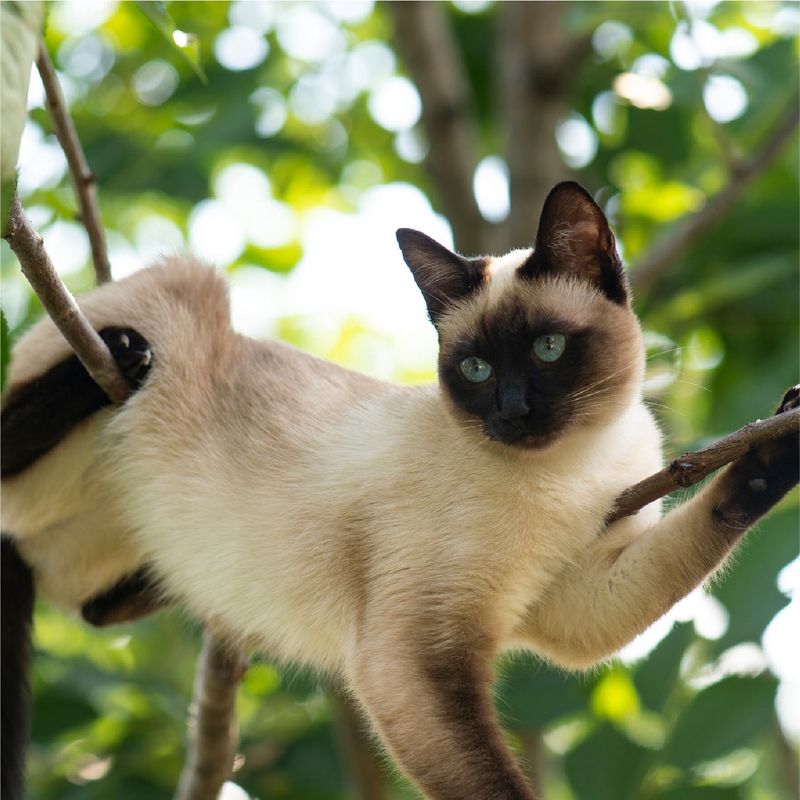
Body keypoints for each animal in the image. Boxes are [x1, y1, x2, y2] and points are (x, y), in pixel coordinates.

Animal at [1, 183, 800, 800]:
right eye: (475, 369)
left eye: (547, 350)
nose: (512, 413)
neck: (572, 470)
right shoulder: (414, 656)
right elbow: (492, 783)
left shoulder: (576, 598)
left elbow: (712, 515)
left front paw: (779, 445)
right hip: (187, 292)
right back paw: (123, 358)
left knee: (92, 607)